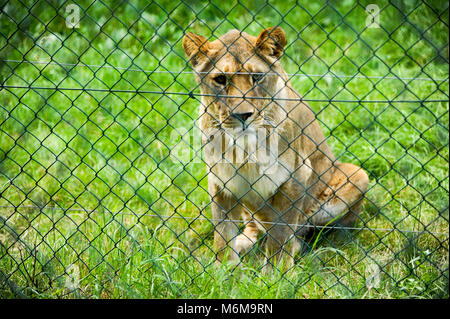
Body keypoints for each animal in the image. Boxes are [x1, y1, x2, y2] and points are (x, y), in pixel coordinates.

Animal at [183, 26, 370, 268]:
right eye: (221, 79)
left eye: (256, 77)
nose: (242, 115)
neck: (244, 148)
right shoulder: (220, 179)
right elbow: (222, 232)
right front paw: (224, 270)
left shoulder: (296, 175)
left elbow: (281, 233)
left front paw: (276, 273)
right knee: (255, 225)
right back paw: (244, 242)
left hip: (358, 175)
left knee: (306, 229)